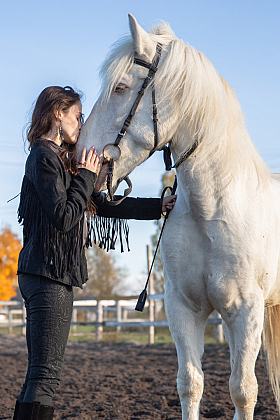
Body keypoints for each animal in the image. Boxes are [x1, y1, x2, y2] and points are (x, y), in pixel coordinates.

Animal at [77, 13, 280, 420]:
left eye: (121, 87)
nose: (76, 155)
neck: (213, 211)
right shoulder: (183, 308)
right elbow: (191, 383)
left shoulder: (246, 311)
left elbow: (243, 390)